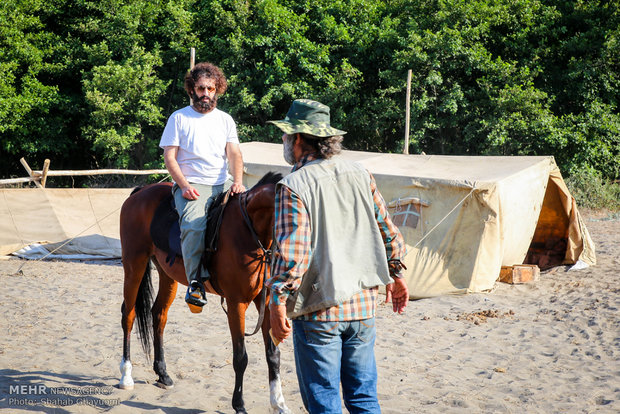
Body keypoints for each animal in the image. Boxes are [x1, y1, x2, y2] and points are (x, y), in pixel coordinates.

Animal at [117, 172, 290, 414]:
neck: (249, 230)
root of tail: (141, 191)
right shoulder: (236, 303)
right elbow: (241, 357)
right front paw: (239, 405)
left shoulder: (263, 302)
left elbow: (273, 355)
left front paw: (278, 403)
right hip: (134, 264)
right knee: (129, 314)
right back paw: (126, 376)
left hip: (166, 274)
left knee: (158, 315)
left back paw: (163, 374)